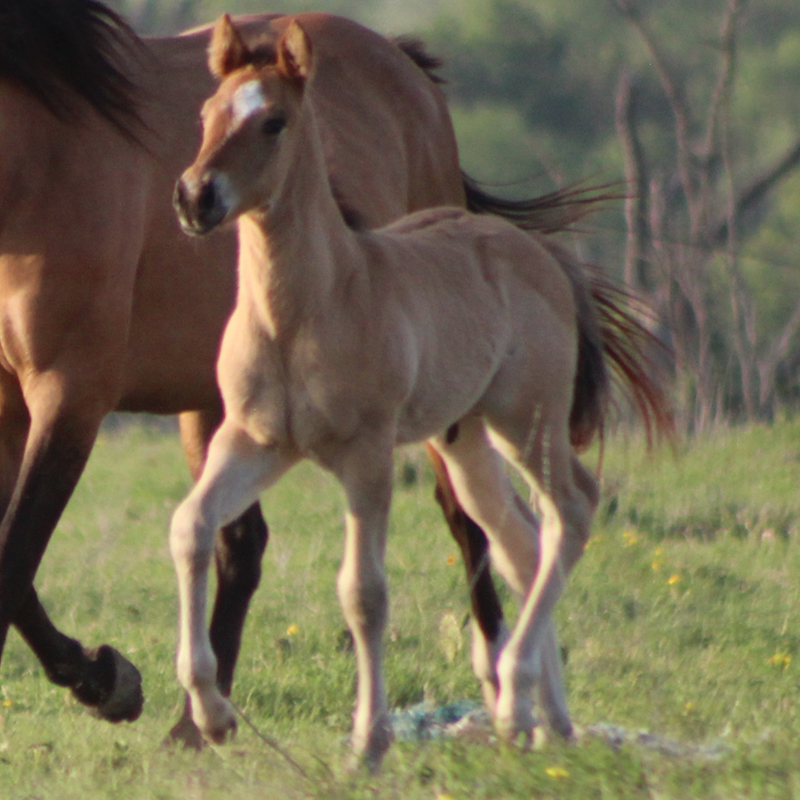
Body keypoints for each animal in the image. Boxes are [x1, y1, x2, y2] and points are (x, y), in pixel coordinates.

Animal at [0, 0, 618, 747]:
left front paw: (108, 680)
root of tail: (408, 67)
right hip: (215, 407)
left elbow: (11, 559)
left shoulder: (71, 398)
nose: (194, 198)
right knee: (239, 543)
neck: (43, 162)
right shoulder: (8, 406)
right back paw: (198, 723)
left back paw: (505, 689)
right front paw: (110, 679)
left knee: (472, 523)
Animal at [171, 16, 672, 770]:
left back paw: (517, 698)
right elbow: (192, 527)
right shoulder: (255, 441)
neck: (309, 305)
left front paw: (368, 742)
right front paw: (212, 714)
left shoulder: (367, 454)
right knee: (522, 540)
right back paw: (545, 723)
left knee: (573, 508)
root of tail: (543, 257)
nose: (196, 197)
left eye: (274, 122)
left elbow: (364, 593)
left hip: (527, 421)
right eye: (206, 114)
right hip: (466, 442)